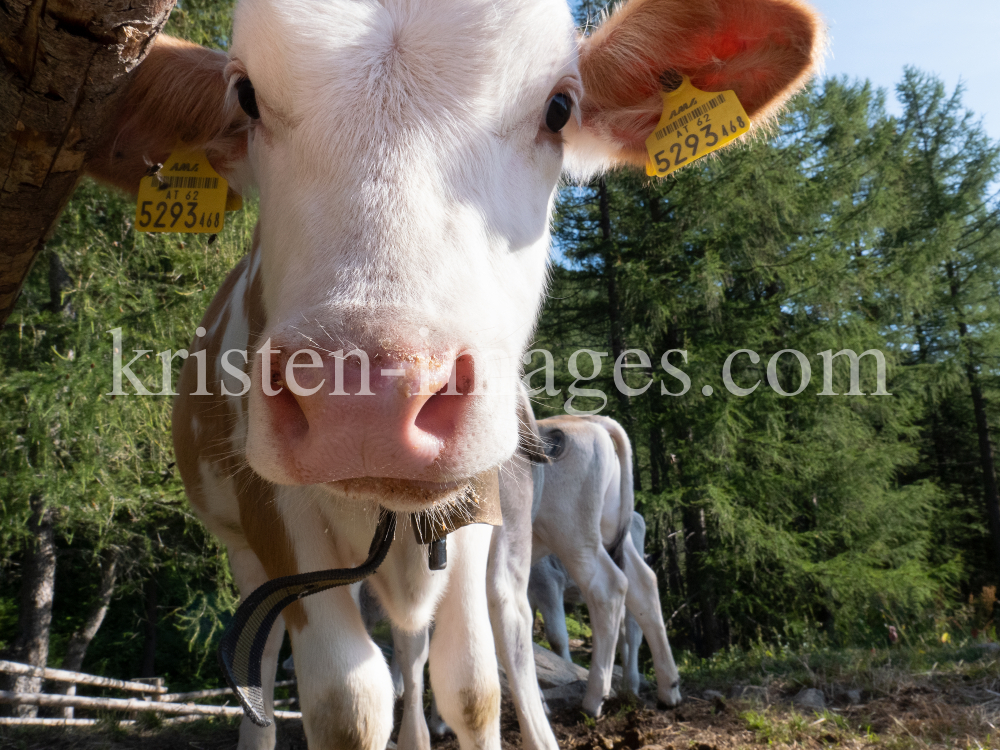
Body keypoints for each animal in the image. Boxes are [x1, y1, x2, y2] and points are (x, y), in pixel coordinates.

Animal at [86, 0, 820, 748]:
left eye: (559, 108)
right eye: (246, 96)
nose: (368, 396)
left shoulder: (476, 512)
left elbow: (470, 682)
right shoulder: (274, 517)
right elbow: (347, 701)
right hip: (246, 550)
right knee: (265, 668)